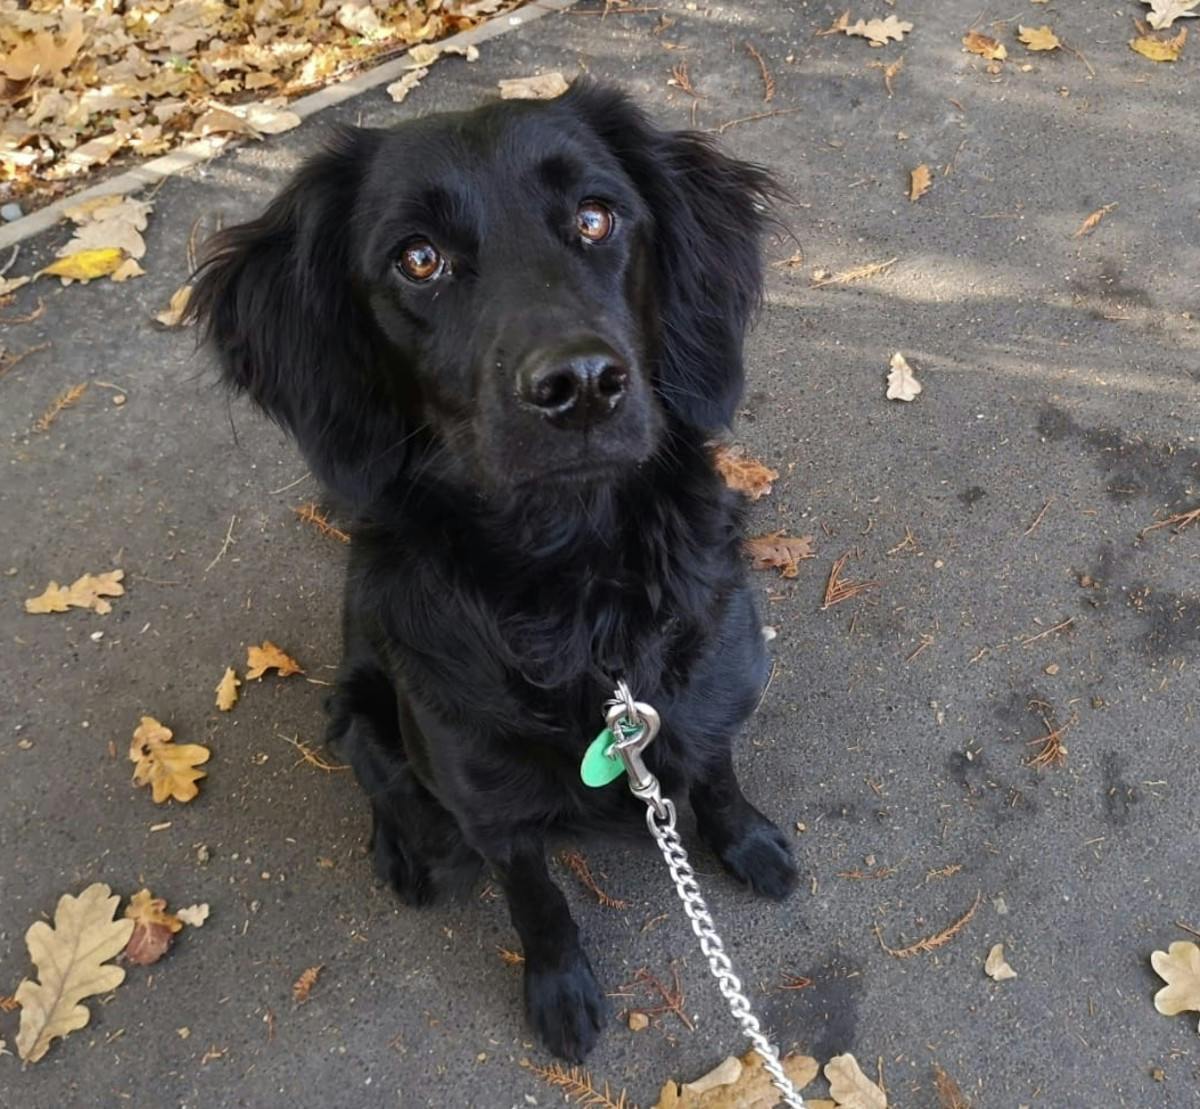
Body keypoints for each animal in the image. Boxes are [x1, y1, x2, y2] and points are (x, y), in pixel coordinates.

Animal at [192, 82, 796, 1060]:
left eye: (595, 216)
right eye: (418, 259)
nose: (581, 385)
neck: (584, 602)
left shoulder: (706, 703)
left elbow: (717, 773)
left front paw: (748, 842)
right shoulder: (491, 808)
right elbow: (537, 900)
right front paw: (559, 988)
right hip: (362, 709)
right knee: (383, 782)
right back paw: (402, 851)